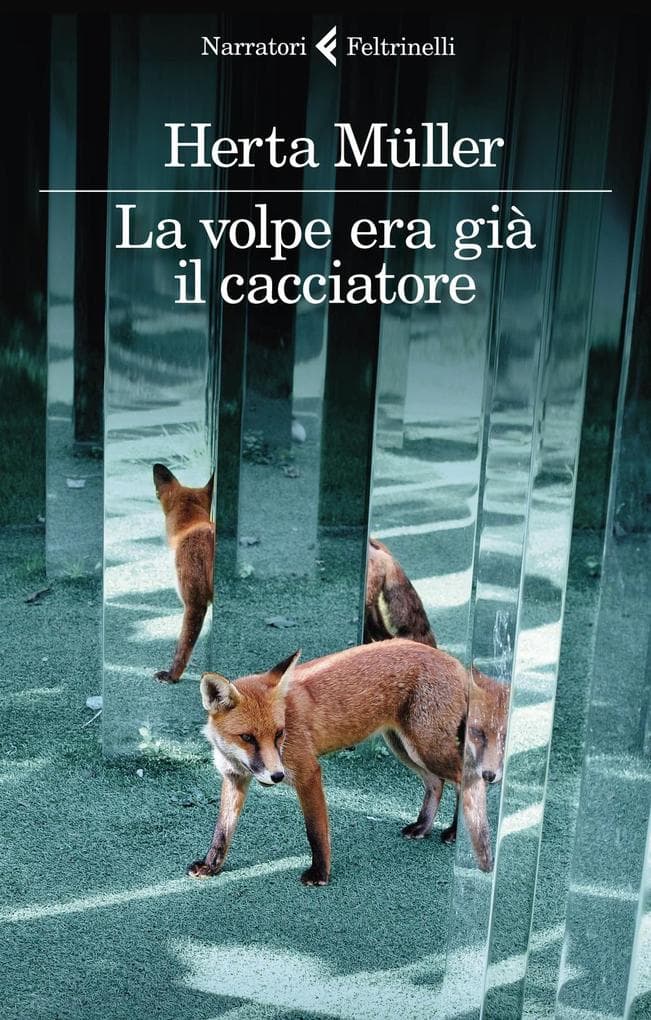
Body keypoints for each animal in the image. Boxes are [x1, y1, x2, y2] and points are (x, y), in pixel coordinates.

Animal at [188, 639, 508, 885]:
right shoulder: (234, 777)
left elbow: (316, 832)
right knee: (437, 783)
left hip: (427, 748)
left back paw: (456, 832)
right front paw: (211, 865)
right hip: (403, 747)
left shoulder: (308, 772)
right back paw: (422, 826)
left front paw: (320, 873)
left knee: (468, 780)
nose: (277, 776)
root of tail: (454, 661)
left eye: (279, 734)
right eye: (247, 737)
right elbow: (222, 830)